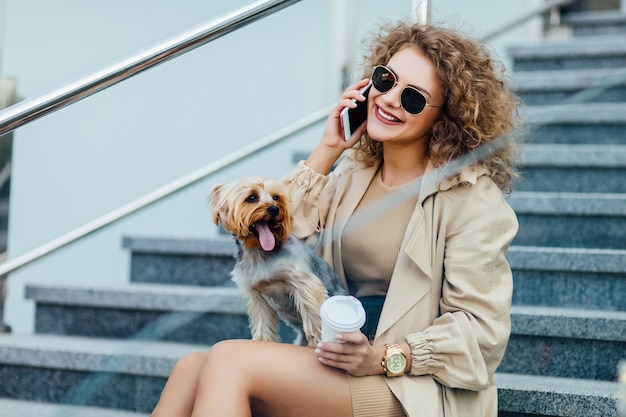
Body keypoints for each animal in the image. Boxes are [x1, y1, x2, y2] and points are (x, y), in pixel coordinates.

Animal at [210, 175, 346, 344]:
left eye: (276, 198)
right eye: (252, 197)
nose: (274, 209)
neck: (259, 251)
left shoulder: (303, 281)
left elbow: (313, 314)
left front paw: (320, 340)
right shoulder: (258, 295)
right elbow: (263, 323)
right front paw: (262, 342)